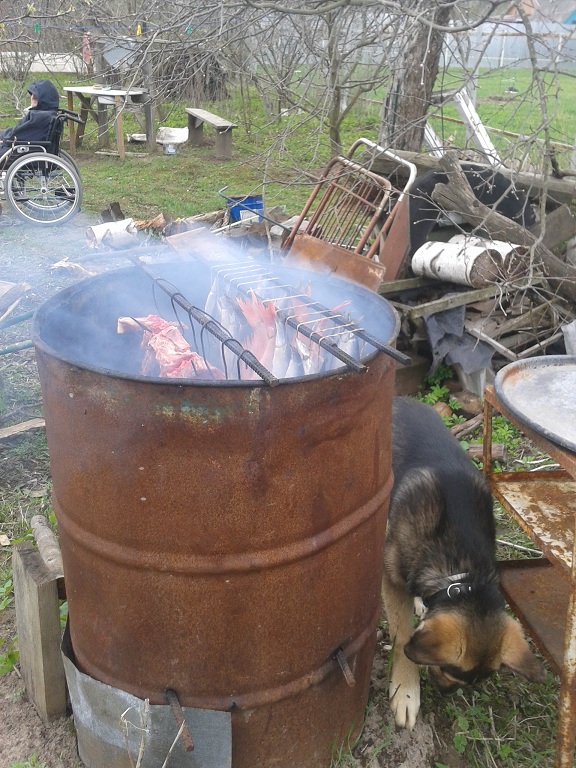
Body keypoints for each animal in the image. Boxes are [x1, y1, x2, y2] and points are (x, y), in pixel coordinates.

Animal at [382, 400, 544, 728]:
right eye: (448, 670)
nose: (446, 695)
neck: (462, 571)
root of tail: (403, 399)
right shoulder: (392, 582)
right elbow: (403, 636)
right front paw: (406, 690)